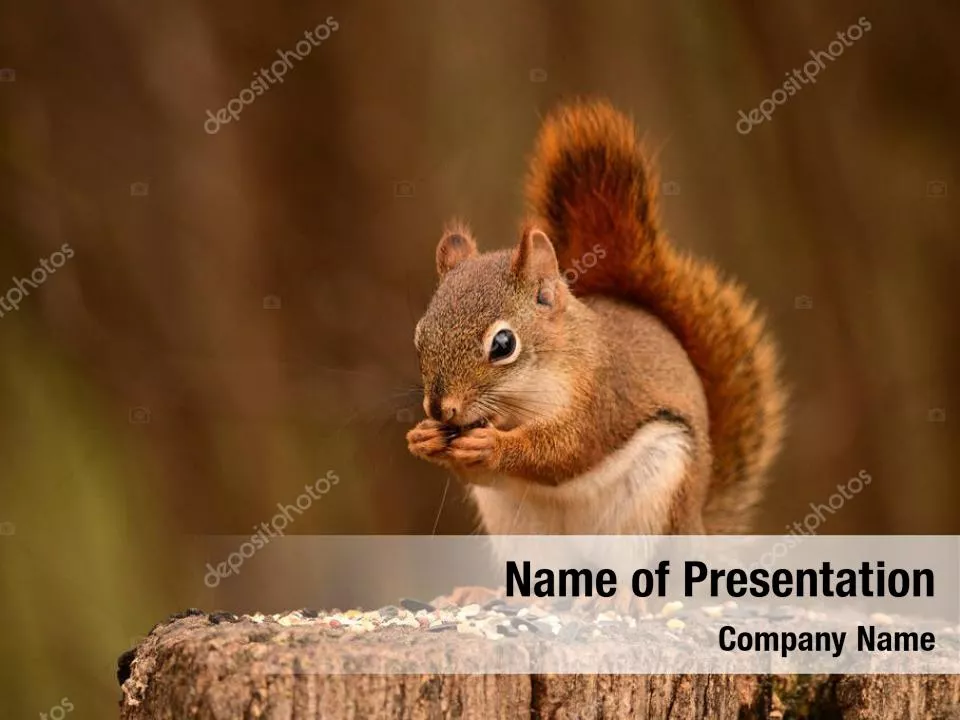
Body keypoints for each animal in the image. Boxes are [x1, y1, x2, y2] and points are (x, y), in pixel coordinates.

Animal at [406, 100, 785, 536]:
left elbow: (565, 451)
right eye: (419, 337)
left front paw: (496, 445)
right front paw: (422, 438)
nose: (440, 409)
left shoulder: (602, 396)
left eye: (503, 344)